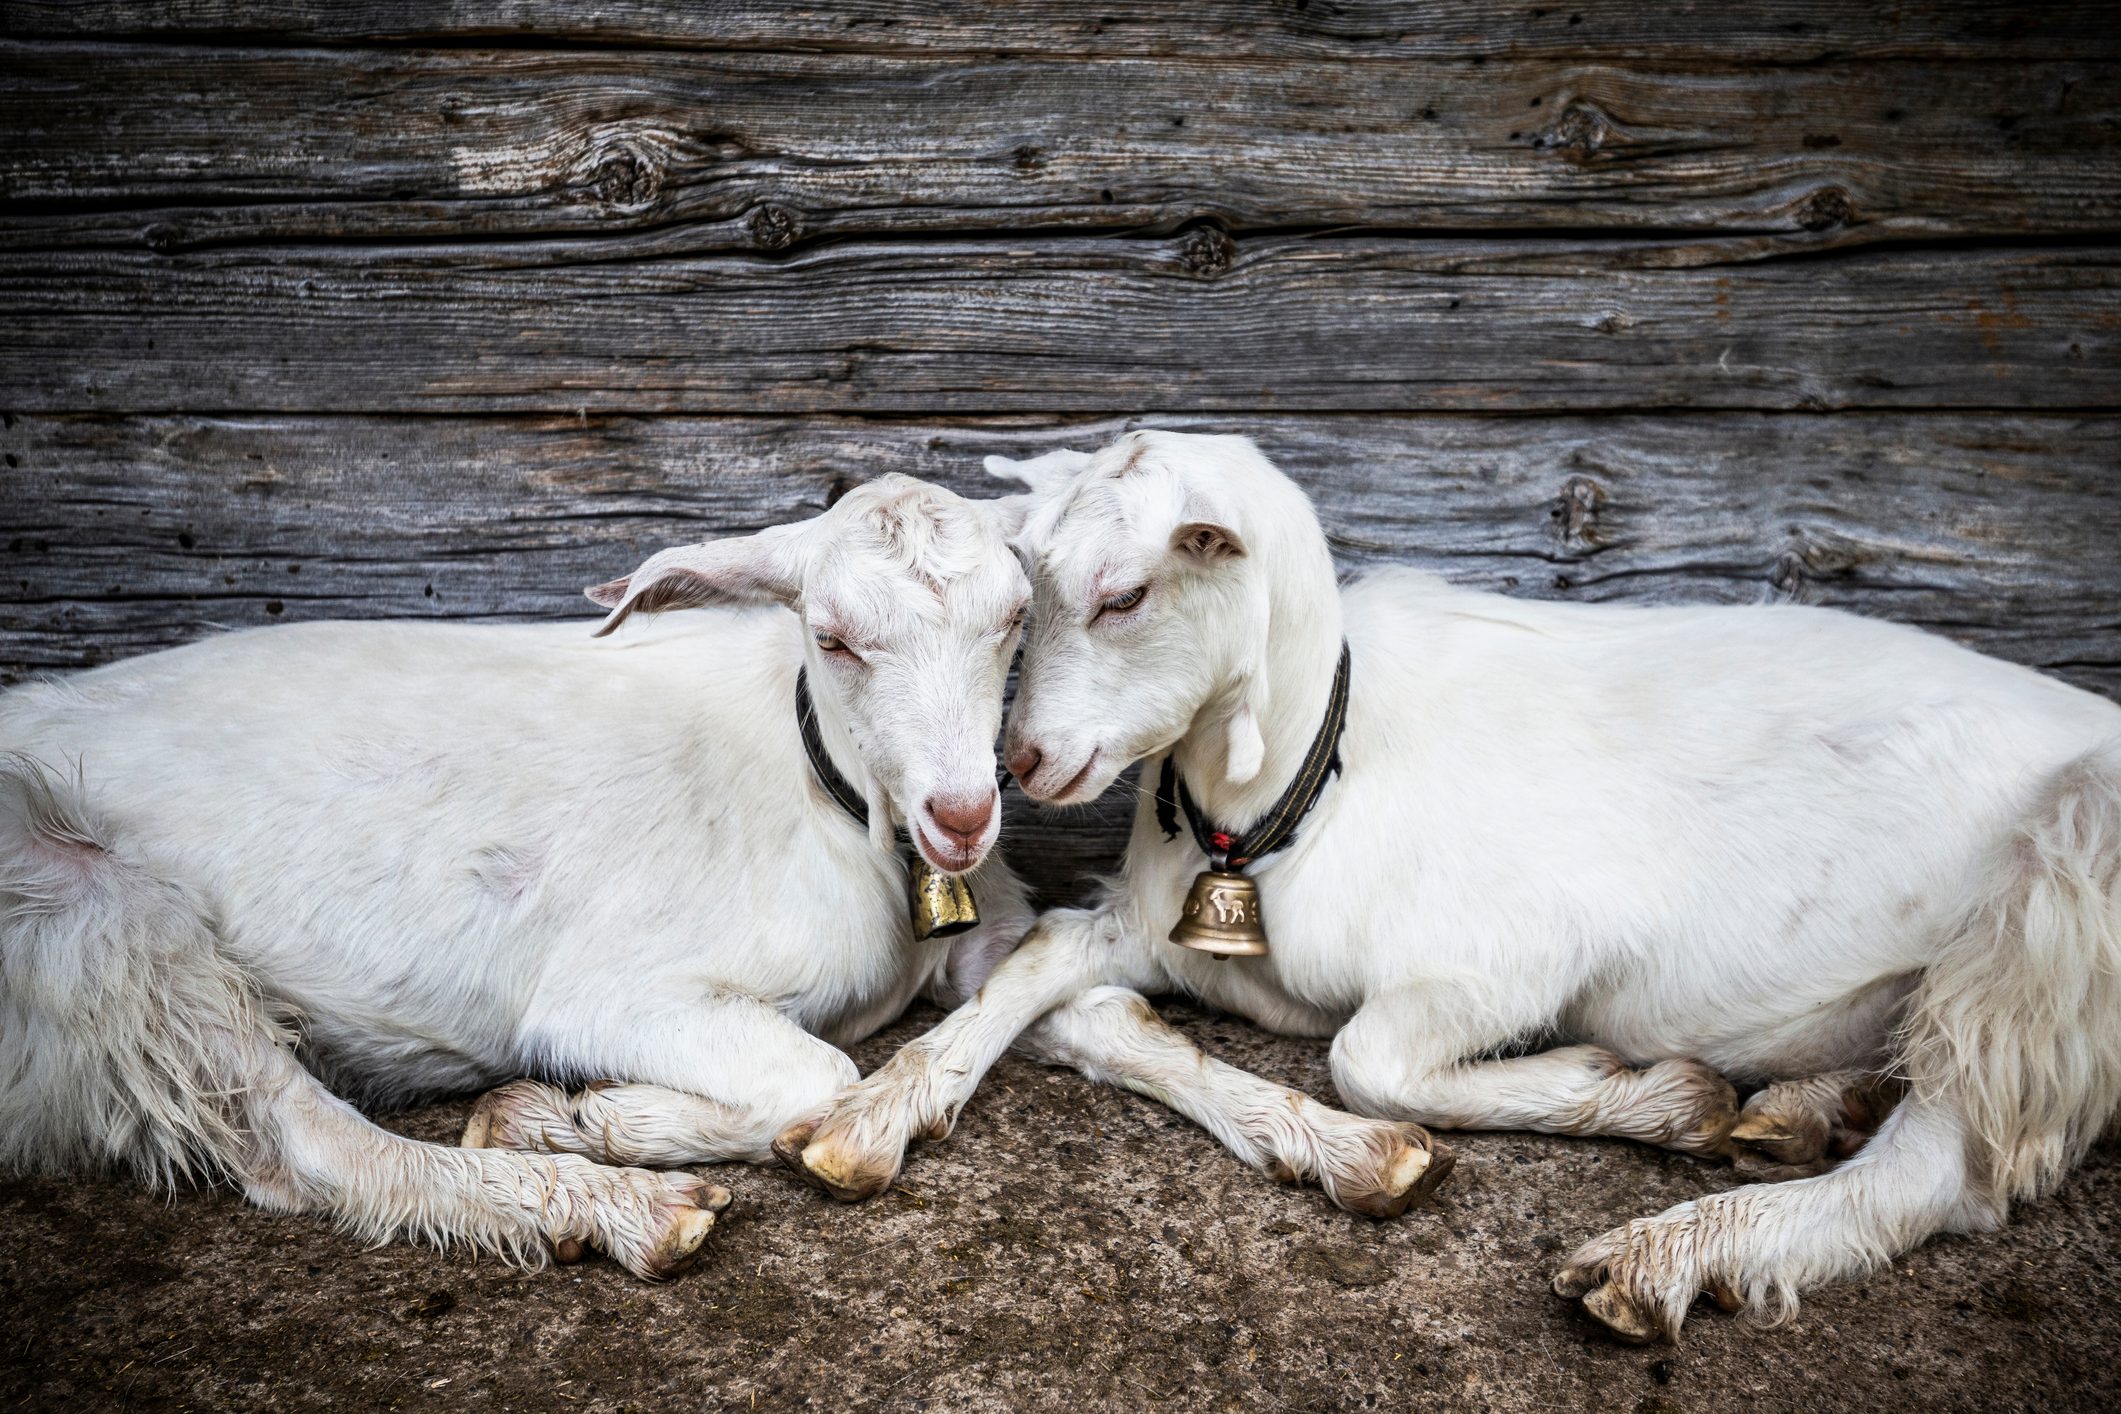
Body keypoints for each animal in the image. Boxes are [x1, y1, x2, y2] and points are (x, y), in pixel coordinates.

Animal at [0, 474, 1038, 1276]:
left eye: (1016, 619)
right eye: (831, 637)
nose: (961, 816)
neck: (828, 791)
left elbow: (1049, 960)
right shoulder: (610, 993)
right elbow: (815, 1073)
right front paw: (589, 1118)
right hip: (94, 908)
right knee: (310, 1145)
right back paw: (615, 1206)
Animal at [784, 431, 2121, 1343]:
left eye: (1126, 594)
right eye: (1031, 594)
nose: (1016, 767)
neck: (1299, 784)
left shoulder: (1520, 959)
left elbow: (1367, 1060)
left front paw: (1633, 1090)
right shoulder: (1154, 927)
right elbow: (1039, 965)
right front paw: (879, 1111)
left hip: (2054, 906)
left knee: (1946, 1169)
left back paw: (1677, 1251)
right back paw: (1806, 1107)